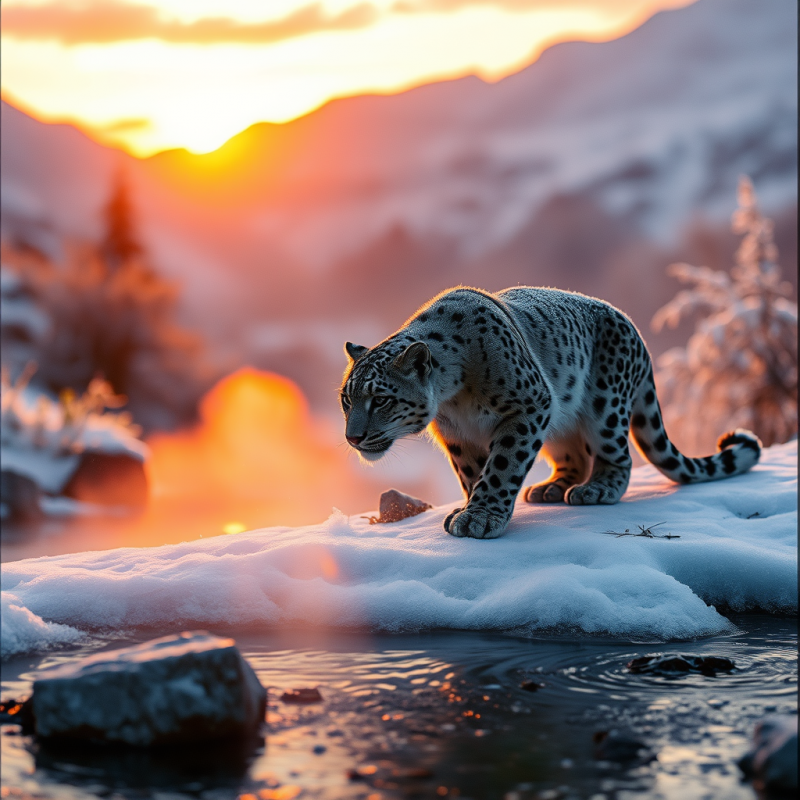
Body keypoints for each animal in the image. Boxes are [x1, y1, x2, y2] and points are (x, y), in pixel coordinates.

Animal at [340, 286, 761, 539]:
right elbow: (471, 472)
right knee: (574, 454)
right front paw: (470, 506)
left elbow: (502, 466)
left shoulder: (527, 407)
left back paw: (595, 489)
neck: (453, 400)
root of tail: (637, 333)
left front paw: (481, 516)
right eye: (346, 399)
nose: (353, 437)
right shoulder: (457, 436)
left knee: (617, 456)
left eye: (381, 399)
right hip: (560, 424)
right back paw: (551, 487)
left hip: (604, 407)